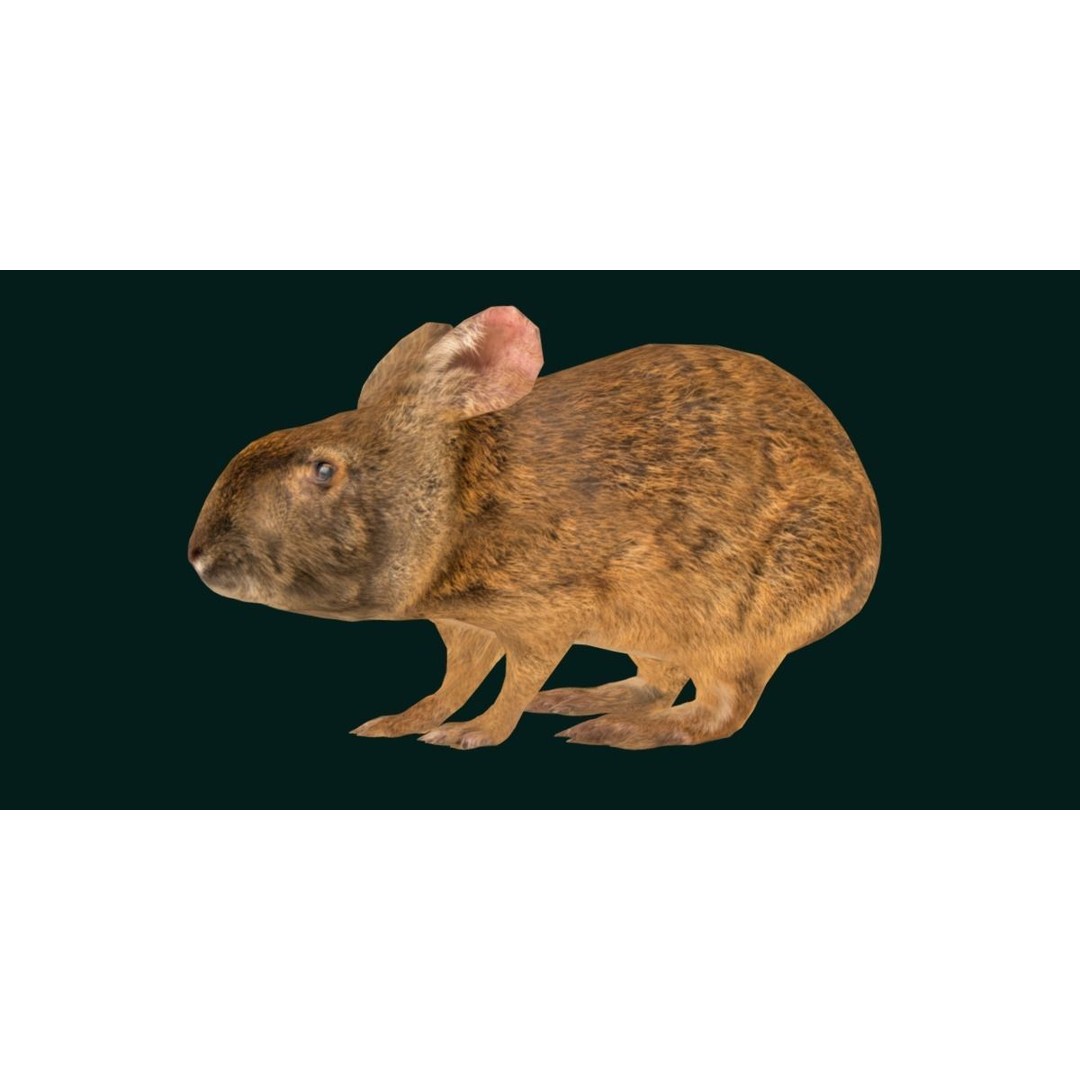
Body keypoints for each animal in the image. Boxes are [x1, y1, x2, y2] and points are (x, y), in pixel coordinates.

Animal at [188, 306, 881, 750]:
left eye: (324, 469)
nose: (198, 556)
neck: (455, 502)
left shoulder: (544, 616)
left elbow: (513, 685)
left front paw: (469, 735)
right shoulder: (467, 626)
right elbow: (456, 681)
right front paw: (399, 722)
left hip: (734, 625)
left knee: (716, 712)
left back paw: (610, 731)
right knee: (660, 684)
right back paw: (583, 700)